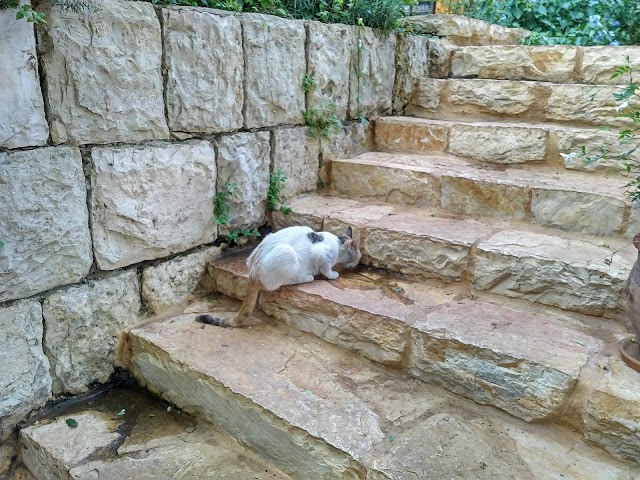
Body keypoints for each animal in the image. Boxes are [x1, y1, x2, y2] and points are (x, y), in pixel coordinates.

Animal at [196, 225, 360, 326]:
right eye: (358, 257)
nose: (356, 265)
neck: (338, 243)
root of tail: (253, 273)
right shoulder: (320, 254)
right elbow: (326, 269)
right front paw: (333, 274)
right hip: (287, 254)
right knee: (283, 282)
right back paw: (307, 277)